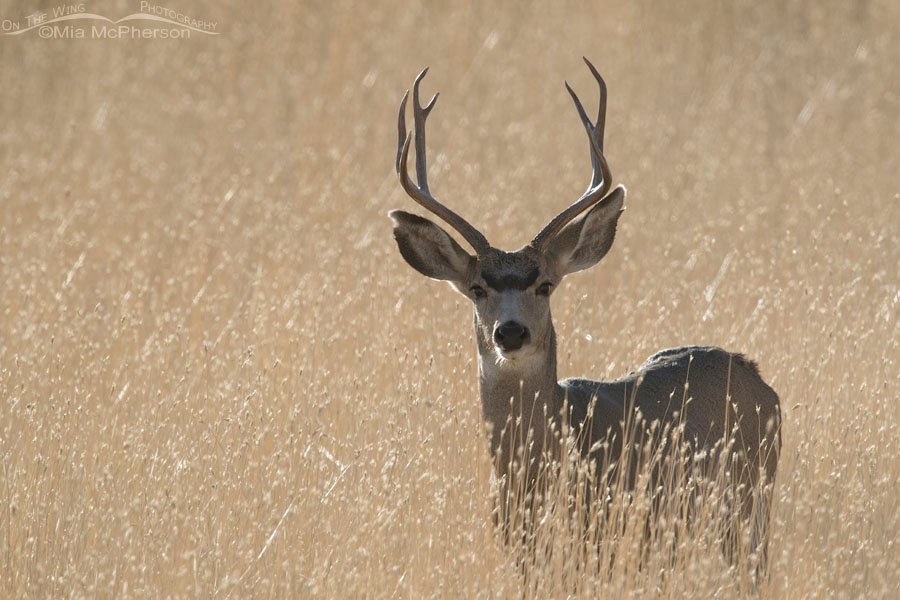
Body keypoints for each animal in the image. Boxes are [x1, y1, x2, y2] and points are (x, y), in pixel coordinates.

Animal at [388, 59, 781, 564]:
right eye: (477, 289)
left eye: (545, 285)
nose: (510, 333)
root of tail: (757, 376)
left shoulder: (605, 532)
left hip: (751, 501)